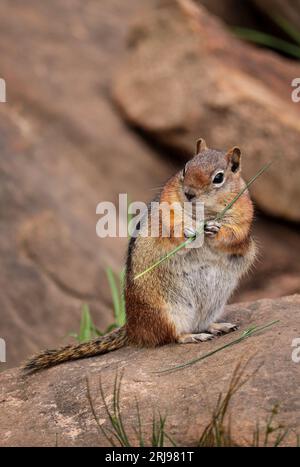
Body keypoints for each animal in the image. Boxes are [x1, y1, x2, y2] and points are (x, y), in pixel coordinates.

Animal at [24, 139, 256, 372]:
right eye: (185, 168)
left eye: (218, 177)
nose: (189, 193)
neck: (204, 214)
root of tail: (132, 328)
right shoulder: (166, 207)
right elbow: (169, 227)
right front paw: (187, 230)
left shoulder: (243, 216)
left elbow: (235, 235)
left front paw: (215, 229)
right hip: (167, 312)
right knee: (172, 336)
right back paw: (193, 336)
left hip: (210, 308)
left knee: (200, 324)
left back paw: (218, 326)